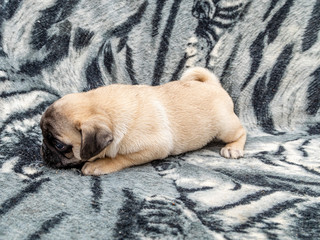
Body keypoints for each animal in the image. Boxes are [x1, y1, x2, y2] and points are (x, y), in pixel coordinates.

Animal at [39, 66, 245, 175]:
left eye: (58, 145)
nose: (42, 149)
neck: (105, 110)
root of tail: (213, 84)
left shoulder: (155, 147)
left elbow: (121, 157)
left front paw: (100, 164)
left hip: (225, 127)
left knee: (242, 131)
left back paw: (233, 148)